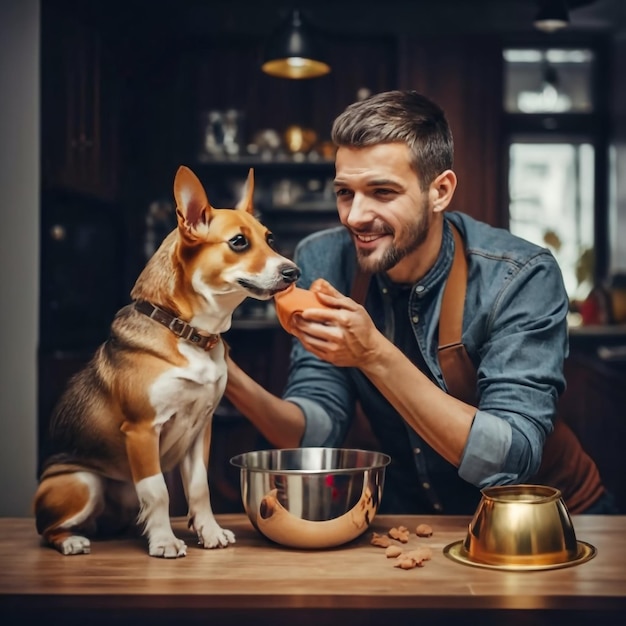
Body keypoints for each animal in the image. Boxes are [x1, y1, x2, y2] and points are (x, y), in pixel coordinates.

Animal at [33, 165, 302, 556]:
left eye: (270, 238)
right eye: (238, 242)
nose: (293, 272)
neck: (188, 334)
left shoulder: (201, 429)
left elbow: (199, 489)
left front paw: (209, 532)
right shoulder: (142, 430)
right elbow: (158, 490)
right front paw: (163, 541)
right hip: (83, 481)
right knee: (47, 529)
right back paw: (71, 541)